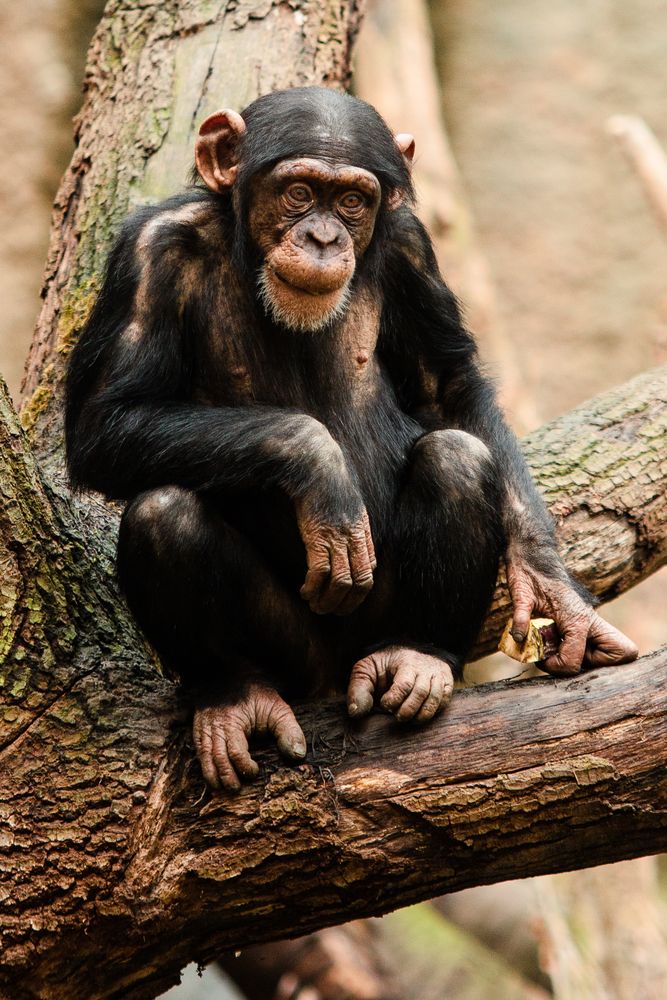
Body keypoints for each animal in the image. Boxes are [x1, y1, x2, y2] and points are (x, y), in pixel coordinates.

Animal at [65, 86, 640, 788]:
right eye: (298, 192)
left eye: (352, 202)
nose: (322, 236)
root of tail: (339, 677)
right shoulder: (149, 254)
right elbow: (106, 422)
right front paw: (317, 465)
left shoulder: (412, 248)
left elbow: (448, 388)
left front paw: (551, 582)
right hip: (295, 654)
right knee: (162, 512)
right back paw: (235, 697)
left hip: (377, 621)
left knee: (457, 455)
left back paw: (418, 654)